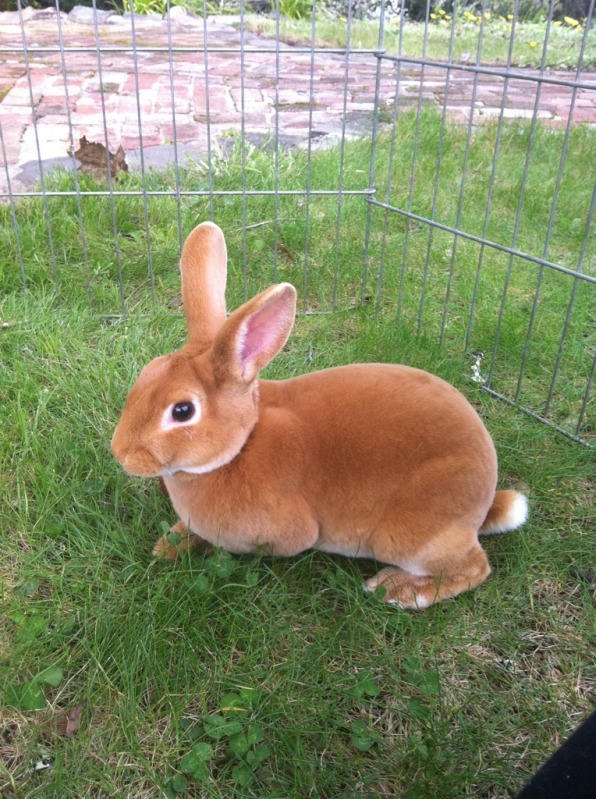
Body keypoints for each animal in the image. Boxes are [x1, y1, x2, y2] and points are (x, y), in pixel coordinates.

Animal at [110, 222, 528, 608]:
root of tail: (484, 500)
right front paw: (169, 544)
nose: (121, 454)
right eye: (145, 375)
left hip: (410, 533)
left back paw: (401, 590)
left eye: (182, 411)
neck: (242, 445)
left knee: (474, 567)